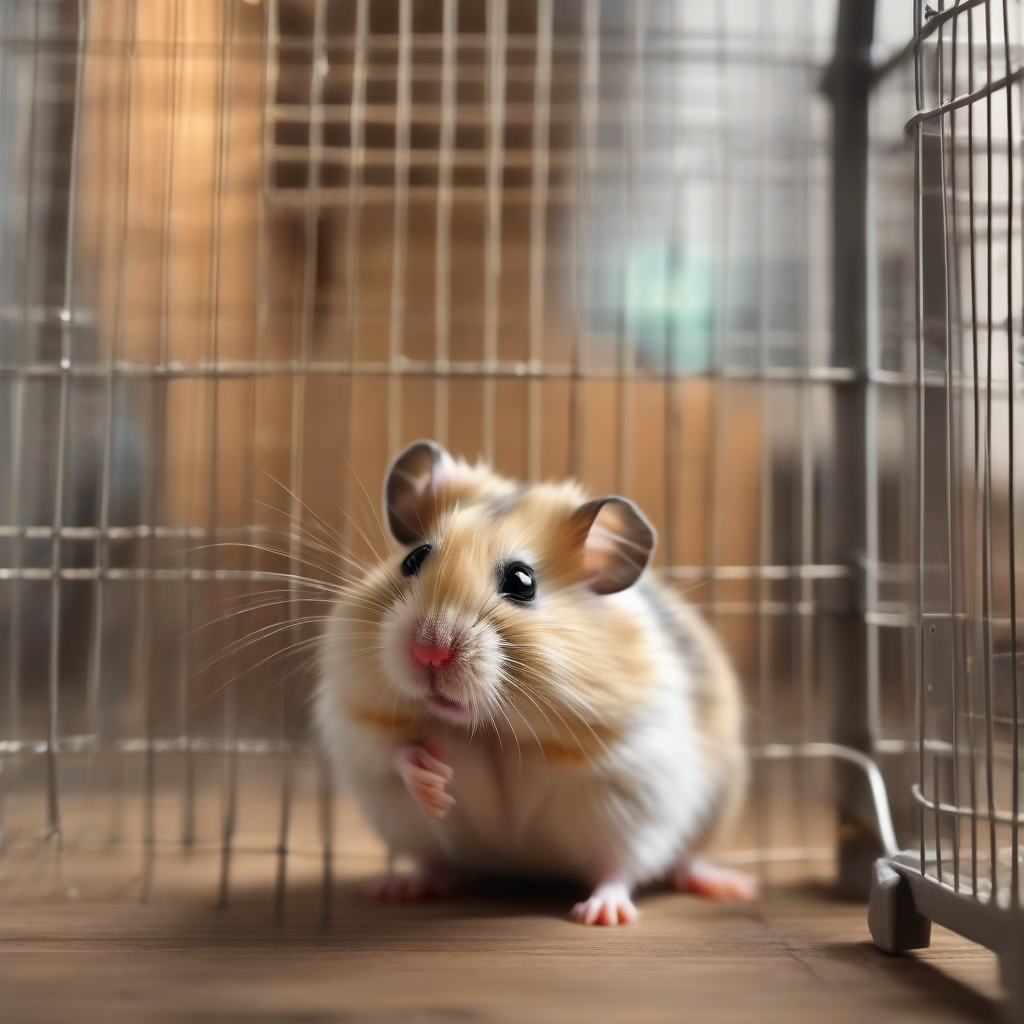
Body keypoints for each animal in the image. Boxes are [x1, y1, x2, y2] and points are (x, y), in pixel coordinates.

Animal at [316, 440, 758, 925]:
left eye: (522, 581)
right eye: (413, 558)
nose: (429, 650)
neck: (493, 733)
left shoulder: (634, 773)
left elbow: (621, 864)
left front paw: (601, 917)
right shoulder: (356, 720)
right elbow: (393, 749)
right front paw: (436, 785)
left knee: (678, 860)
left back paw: (725, 887)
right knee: (435, 864)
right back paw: (398, 889)